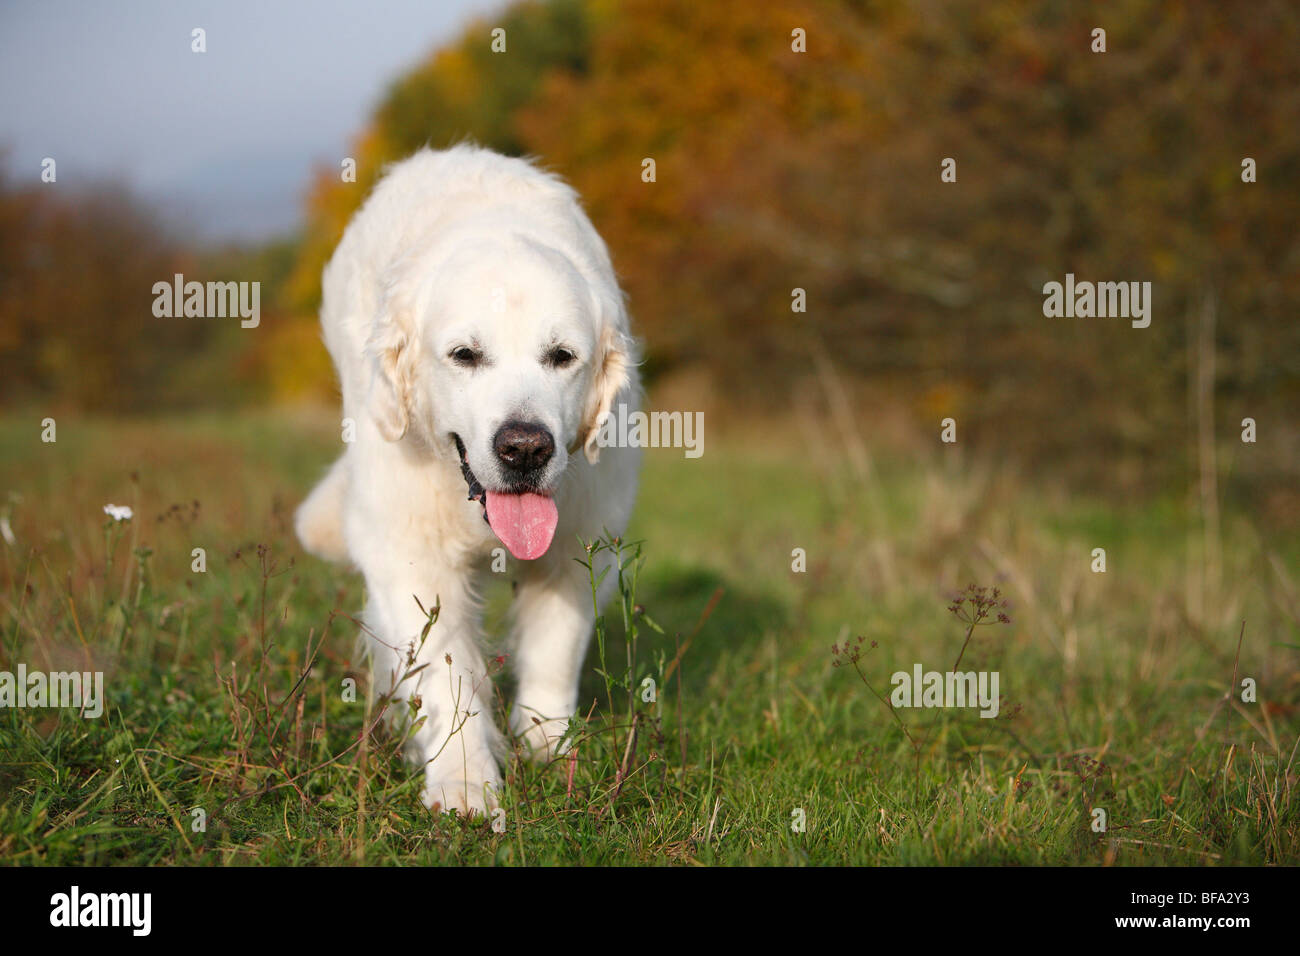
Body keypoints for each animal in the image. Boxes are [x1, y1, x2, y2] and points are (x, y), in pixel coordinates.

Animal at [293, 145, 639, 816]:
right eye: (465, 355)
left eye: (562, 356)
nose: (525, 447)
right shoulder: (410, 552)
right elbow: (445, 672)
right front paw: (464, 782)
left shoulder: (580, 543)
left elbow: (554, 654)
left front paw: (549, 749)